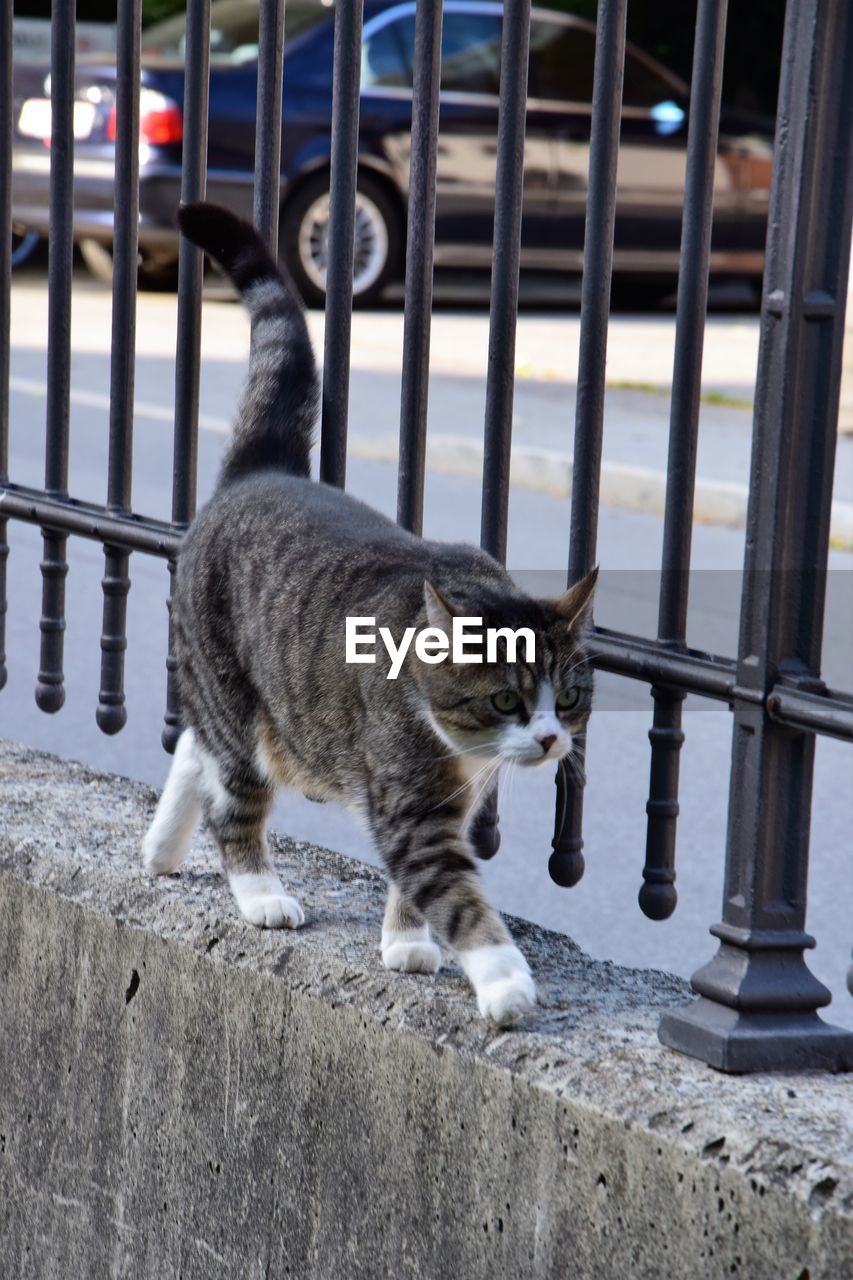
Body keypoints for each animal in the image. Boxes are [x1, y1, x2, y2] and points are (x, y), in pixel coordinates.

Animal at [140, 204, 591, 1024]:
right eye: (506, 699)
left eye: (568, 696)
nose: (549, 739)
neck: (459, 748)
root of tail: (261, 469)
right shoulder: (411, 805)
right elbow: (453, 892)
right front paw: (504, 979)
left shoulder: (452, 803)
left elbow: (416, 887)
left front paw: (405, 941)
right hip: (233, 690)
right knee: (231, 795)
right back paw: (259, 893)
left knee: (195, 746)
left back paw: (162, 846)